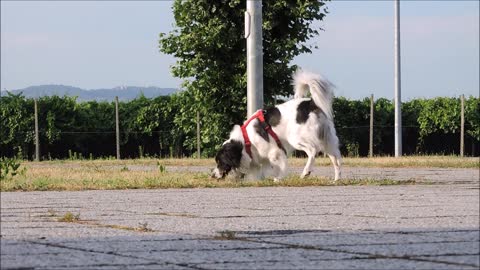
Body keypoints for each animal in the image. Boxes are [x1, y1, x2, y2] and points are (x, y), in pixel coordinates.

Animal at [211, 69, 342, 181]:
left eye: (220, 162)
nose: (212, 175)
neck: (246, 140)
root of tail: (310, 103)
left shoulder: (274, 152)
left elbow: (278, 167)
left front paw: (277, 179)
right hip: (328, 140)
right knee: (336, 159)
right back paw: (337, 179)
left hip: (296, 138)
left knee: (313, 150)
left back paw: (306, 172)